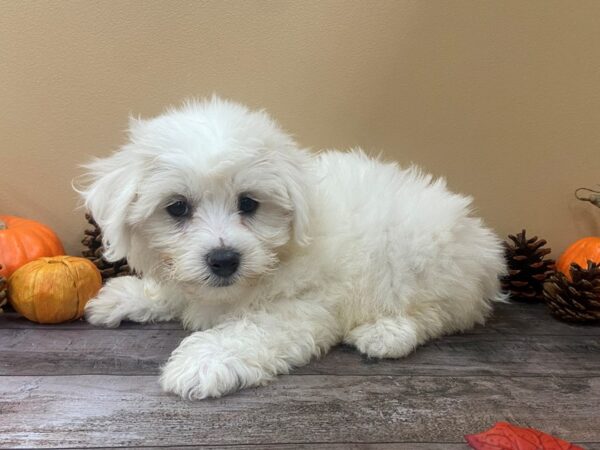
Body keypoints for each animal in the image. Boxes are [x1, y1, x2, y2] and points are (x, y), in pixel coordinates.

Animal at [79, 96, 506, 400]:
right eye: (178, 207)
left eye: (249, 203)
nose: (224, 260)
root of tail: (484, 246)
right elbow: (174, 291)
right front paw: (123, 298)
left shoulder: (306, 307)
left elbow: (253, 330)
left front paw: (204, 361)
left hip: (422, 258)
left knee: (438, 315)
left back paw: (386, 333)